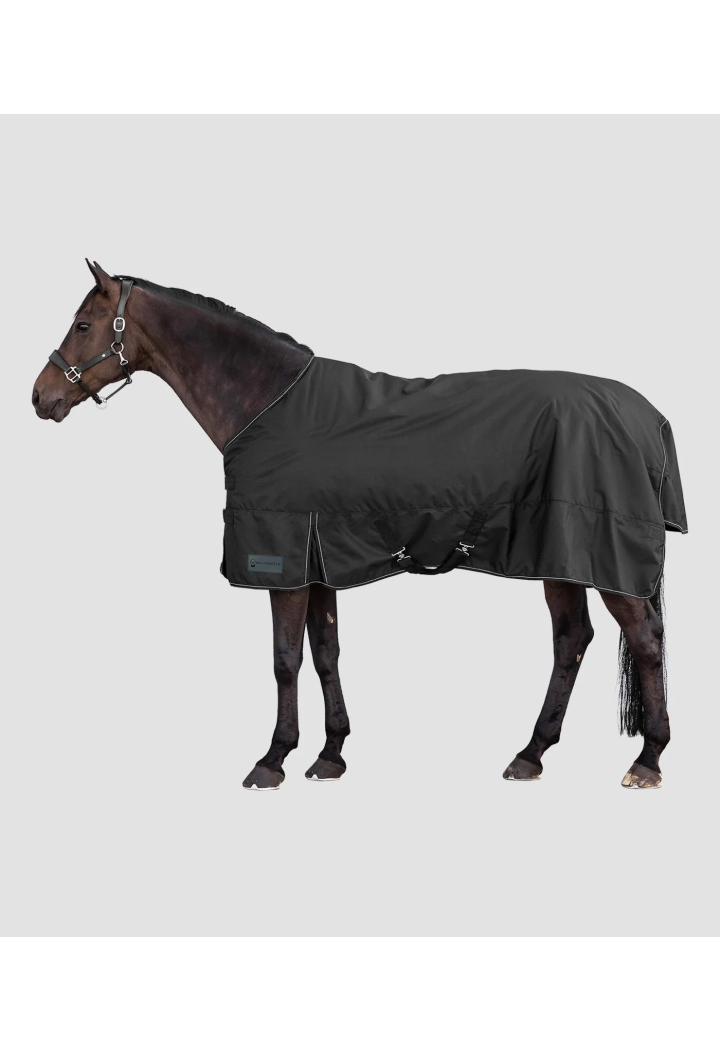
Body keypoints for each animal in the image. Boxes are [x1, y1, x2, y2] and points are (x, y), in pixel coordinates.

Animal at [32, 261, 687, 791]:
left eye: (83, 326)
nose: (40, 397)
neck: (266, 402)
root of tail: (649, 416)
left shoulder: (284, 559)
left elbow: (285, 661)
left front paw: (272, 760)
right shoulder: (319, 557)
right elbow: (326, 653)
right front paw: (330, 755)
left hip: (601, 556)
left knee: (645, 640)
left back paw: (648, 761)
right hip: (559, 554)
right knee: (572, 640)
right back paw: (530, 754)